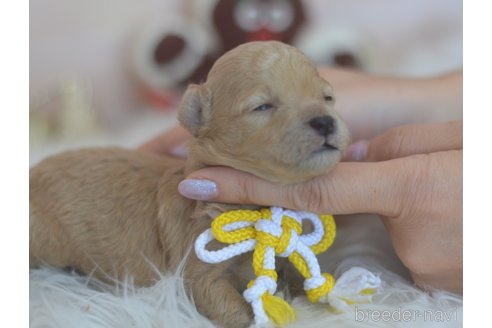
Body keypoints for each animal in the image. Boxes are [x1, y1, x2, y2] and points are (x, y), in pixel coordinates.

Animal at [29, 41, 350, 328]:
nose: (325, 121)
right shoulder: (195, 270)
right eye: (262, 106)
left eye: (327, 98)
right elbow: (228, 305)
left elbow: (295, 276)